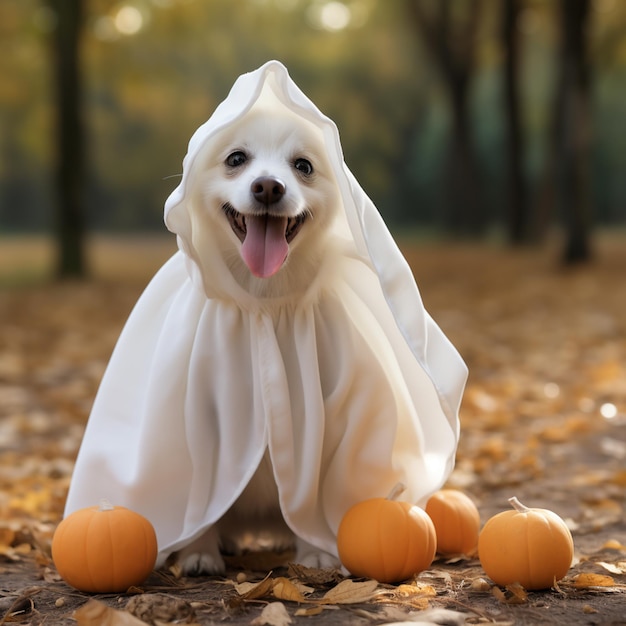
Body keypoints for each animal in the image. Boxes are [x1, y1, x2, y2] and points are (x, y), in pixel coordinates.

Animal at [64, 62, 464, 576]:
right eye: (236, 159)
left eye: (303, 166)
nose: (268, 186)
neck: (265, 305)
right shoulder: (199, 416)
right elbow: (199, 496)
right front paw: (198, 550)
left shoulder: (331, 416)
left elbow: (310, 492)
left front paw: (315, 550)